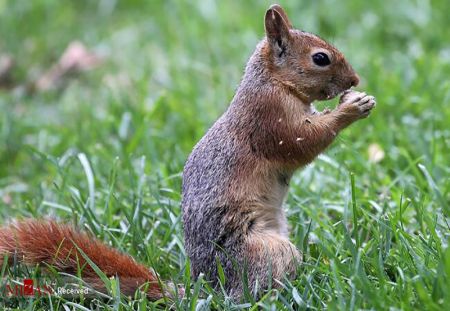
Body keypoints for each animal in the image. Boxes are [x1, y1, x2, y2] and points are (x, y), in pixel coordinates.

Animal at [0, 4, 374, 302]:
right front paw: (351, 109)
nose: (355, 80)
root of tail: (206, 287)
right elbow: (302, 142)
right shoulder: (269, 119)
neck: (273, 82)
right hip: (265, 251)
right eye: (320, 58)